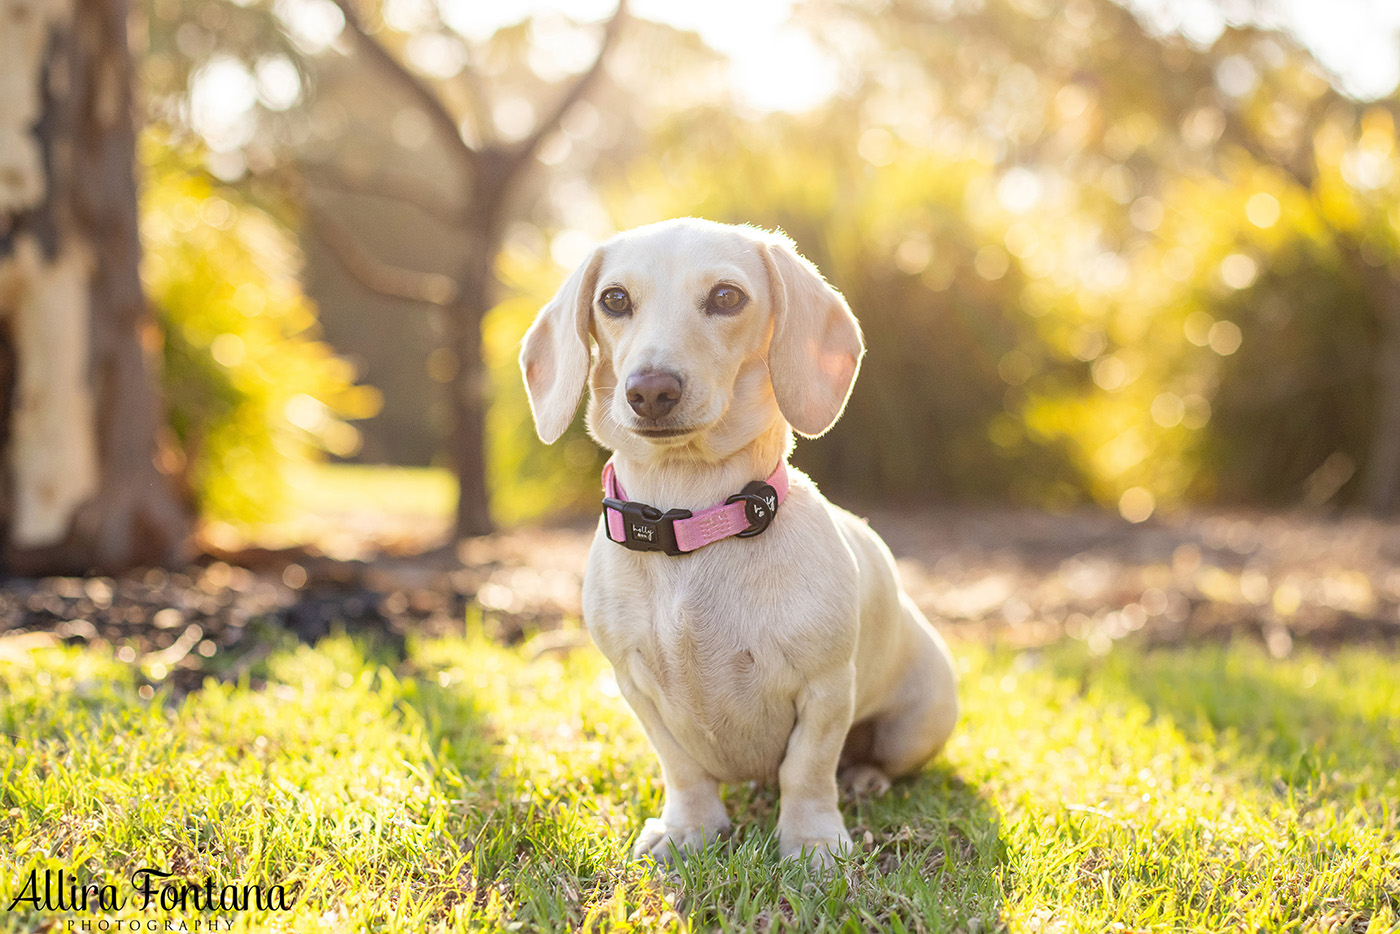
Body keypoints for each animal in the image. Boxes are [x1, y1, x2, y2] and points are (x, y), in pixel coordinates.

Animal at [520, 217, 957, 868]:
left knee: (877, 759)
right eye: (614, 299)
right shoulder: (636, 687)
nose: (650, 390)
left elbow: (808, 769)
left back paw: (864, 778)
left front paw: (812, 843)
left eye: (727, 297)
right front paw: (687, 829)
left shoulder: (826, 688)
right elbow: (682, 768)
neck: (693, 519)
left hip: (916, 722)